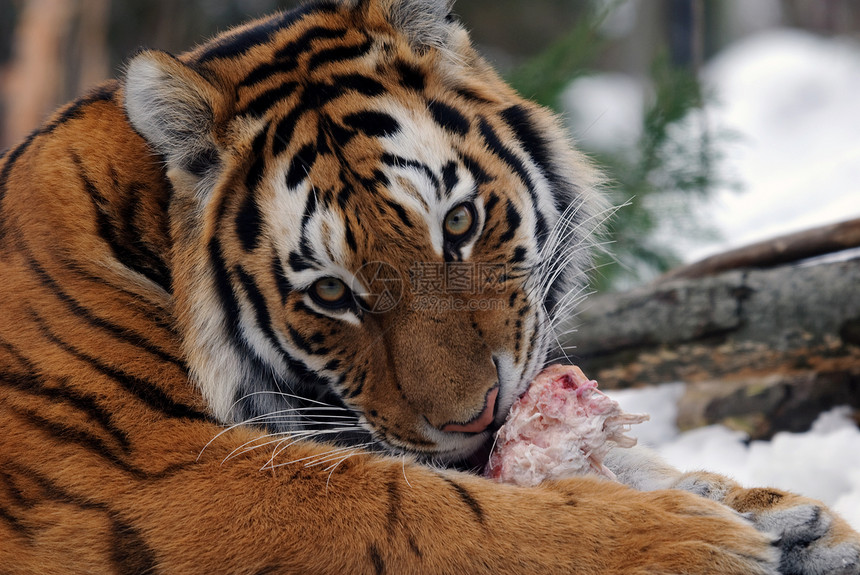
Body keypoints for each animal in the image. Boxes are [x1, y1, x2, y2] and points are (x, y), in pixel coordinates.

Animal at [1, 0, 860, 572]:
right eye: (330, 294)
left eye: (459, 222)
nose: (473, 418)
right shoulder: (150, 473)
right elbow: (419, 508)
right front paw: (694, 537)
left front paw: (789, 520)